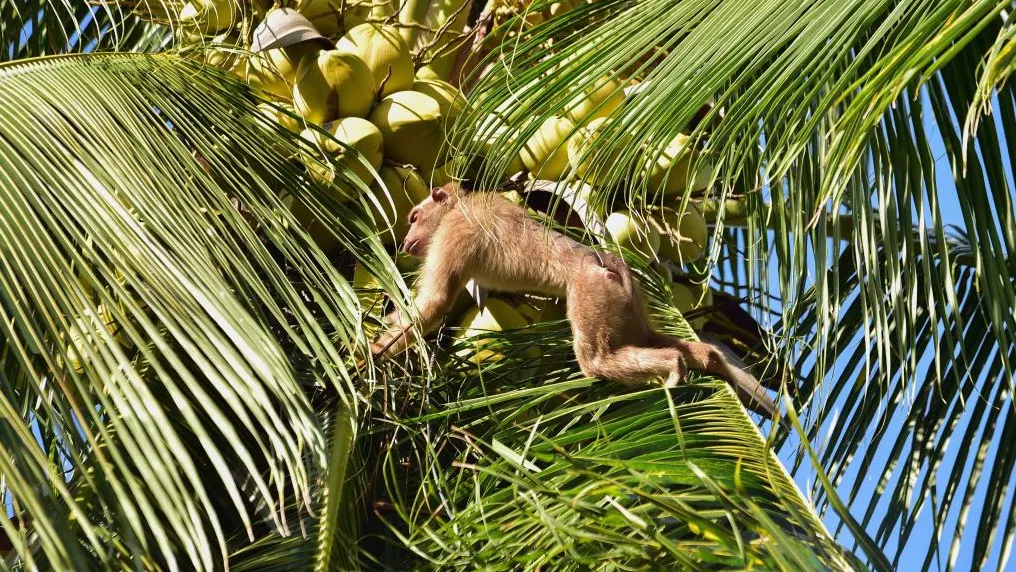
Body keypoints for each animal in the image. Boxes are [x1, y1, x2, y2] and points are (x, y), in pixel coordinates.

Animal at [369, 182, 779, 421]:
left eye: (414, 216)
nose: (406, 239)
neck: (462, 204)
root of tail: (609, 264)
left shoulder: (455, 229)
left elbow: (436, 303)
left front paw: (367, 356)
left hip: (591, 292)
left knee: (596, 361)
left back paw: (673, 365)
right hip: (630, 307)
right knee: (649, 338)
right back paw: (709, 360)